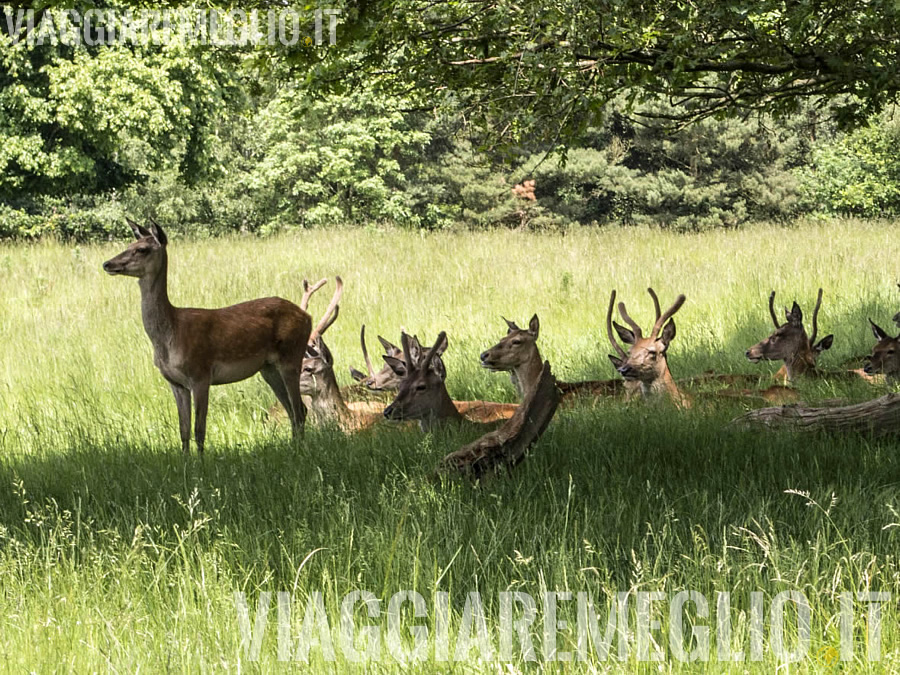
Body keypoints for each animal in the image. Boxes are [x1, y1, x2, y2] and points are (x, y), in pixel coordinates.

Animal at [103, 219, 310, 456]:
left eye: (142, 249)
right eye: (129, 244)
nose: (107, 264)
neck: (172, 334)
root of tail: (307, 317)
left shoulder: (200, 373)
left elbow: (199, 429)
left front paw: (201, 463)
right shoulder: (176, 383)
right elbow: (183, 430)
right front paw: (185, 461)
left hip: (291, 355)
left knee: (299, 410)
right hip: (268, 368)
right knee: (294, 410)